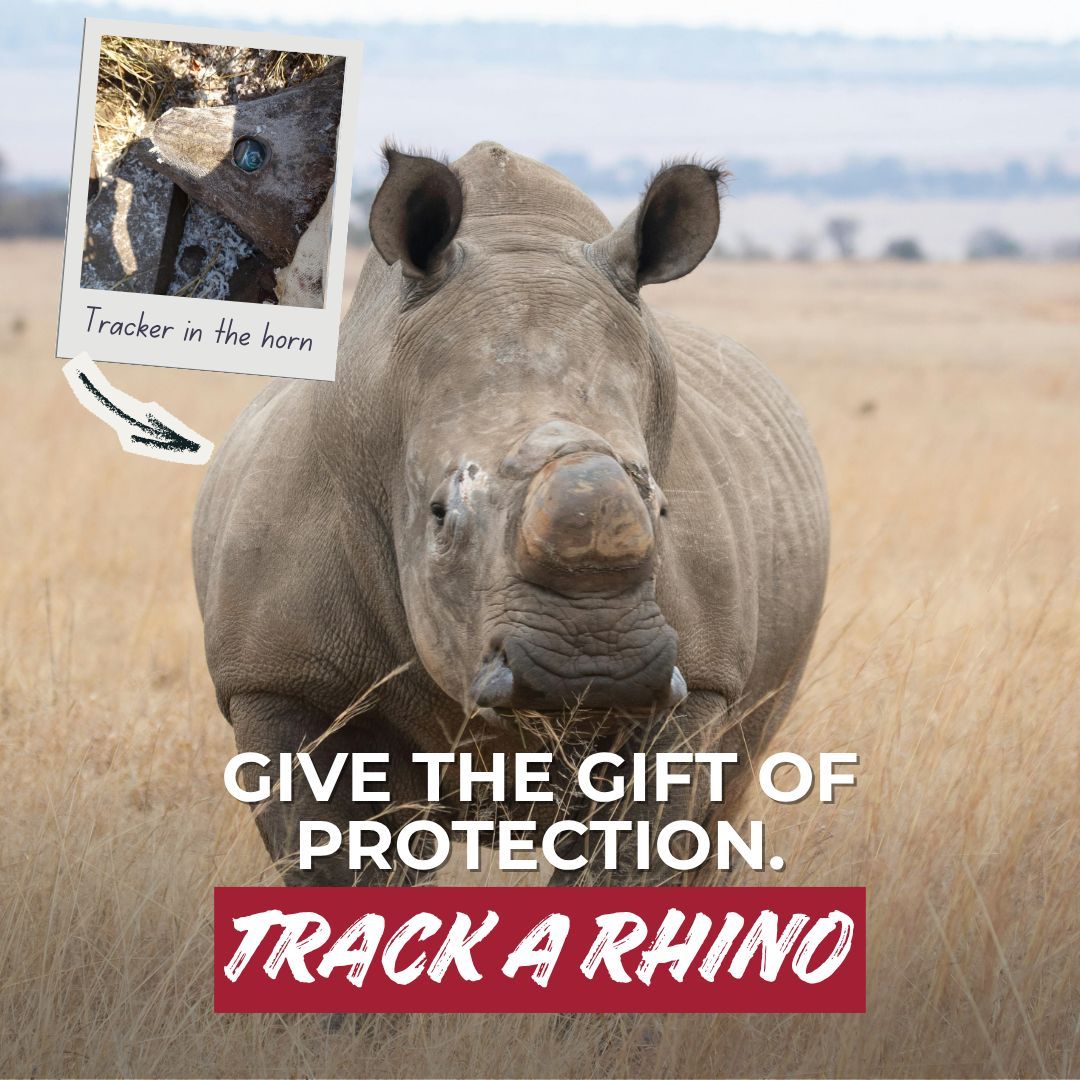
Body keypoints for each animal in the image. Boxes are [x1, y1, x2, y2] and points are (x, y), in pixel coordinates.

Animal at [193, 142, 829, 886]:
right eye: (439, 514)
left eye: (663, 508)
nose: (591, 667)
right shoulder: (278, 681)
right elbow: (335, 863)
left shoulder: (699, 684)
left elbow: (637, 858)